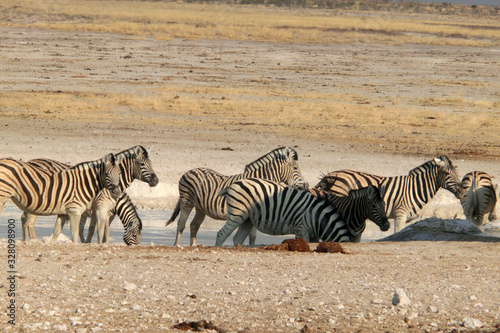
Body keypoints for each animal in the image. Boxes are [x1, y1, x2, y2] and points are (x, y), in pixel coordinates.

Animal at [166, 147, 310, 245]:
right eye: (295, 168)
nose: (306, 185)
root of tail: (189, 171)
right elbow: (251, 236)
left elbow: (252, 237)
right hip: (186, 202)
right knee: (181, 224)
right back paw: (177, 245)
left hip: (200, 208)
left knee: (194, 225)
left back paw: (193, 246)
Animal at [216, 178, 390, 245]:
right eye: (374, 206)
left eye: (384, 204)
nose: (387, 225)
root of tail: (234, 183)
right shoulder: (302, 229)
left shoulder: (314, 234)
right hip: (237, 214)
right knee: (221, 234)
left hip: (246, 219)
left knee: (237, 238)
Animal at [314, 155, 462, 231]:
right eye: (447, 173)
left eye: (457, 172)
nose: (461, 192)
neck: (415, 188)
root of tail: (329, 177)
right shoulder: (400, 215)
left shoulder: (408, 218)